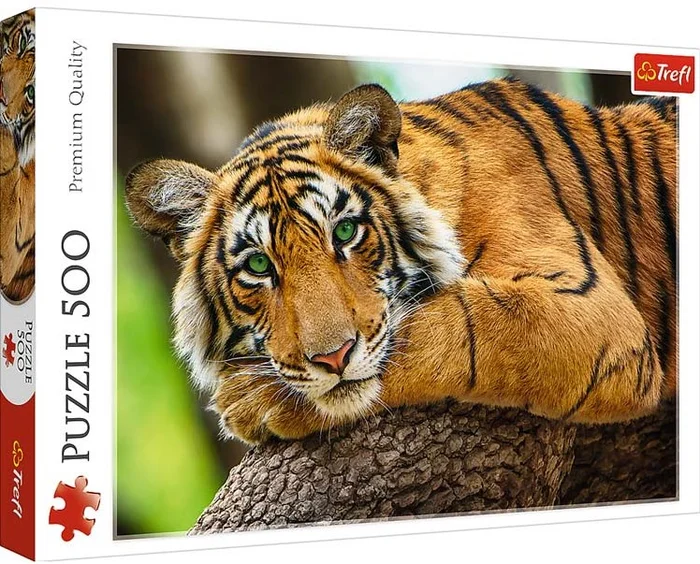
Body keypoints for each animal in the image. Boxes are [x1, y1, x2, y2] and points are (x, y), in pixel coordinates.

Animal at [125, 77, 677, 445]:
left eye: (345, 232)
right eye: (259, 267)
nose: (332, 359)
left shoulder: (591, 309)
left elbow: (452, 325)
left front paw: (249, 400)